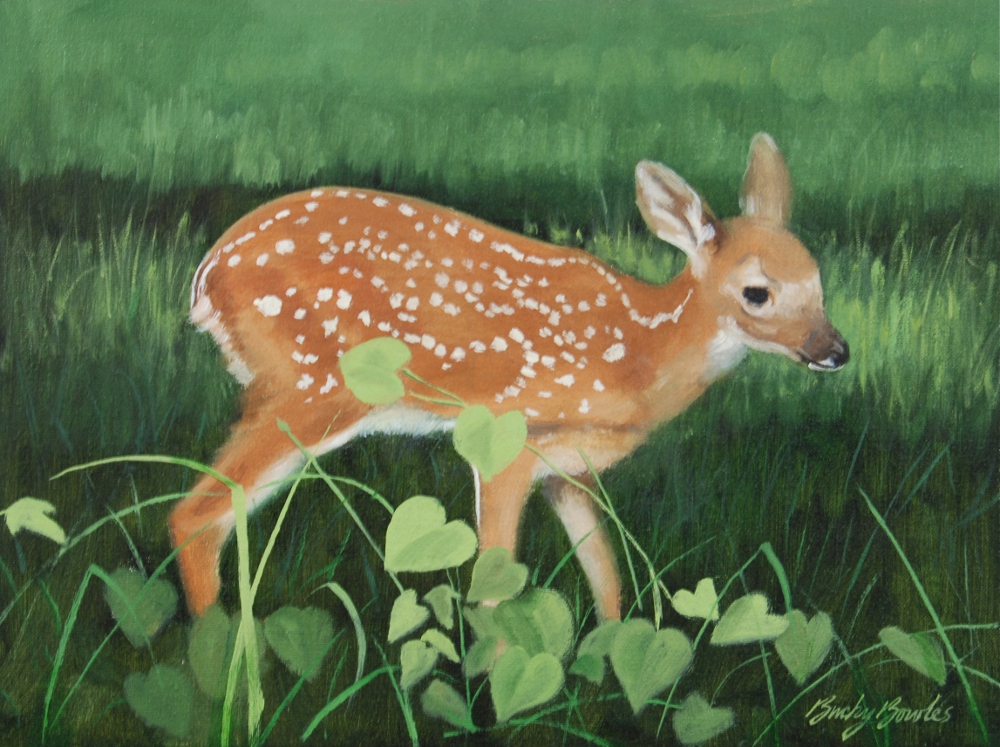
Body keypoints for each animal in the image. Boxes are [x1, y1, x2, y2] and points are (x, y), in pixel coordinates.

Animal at [172, 133, 848, 621]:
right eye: (757, 292)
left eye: (819, 282)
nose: (836, 350)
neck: (642, 353)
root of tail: (206, 275)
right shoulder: (505, 438)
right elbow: (494, 585)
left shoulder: (568, 470)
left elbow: (606, 580)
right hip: (311, 385)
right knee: (197, 516)